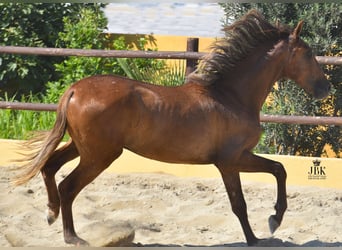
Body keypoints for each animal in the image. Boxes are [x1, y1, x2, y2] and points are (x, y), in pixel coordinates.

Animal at [14, 10, 330, 246]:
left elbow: (277, 170)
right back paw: (73, 237)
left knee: (50, 167)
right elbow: (245, 198)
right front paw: (263, 231)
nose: (325, 88)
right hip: (100, 154)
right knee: (67, 185)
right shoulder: (231, 160)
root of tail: (74, 90)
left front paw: (272, 222)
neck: (231, 96)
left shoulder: (237, 158)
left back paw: (51, 213)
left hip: (82, 146)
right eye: (308, 53)